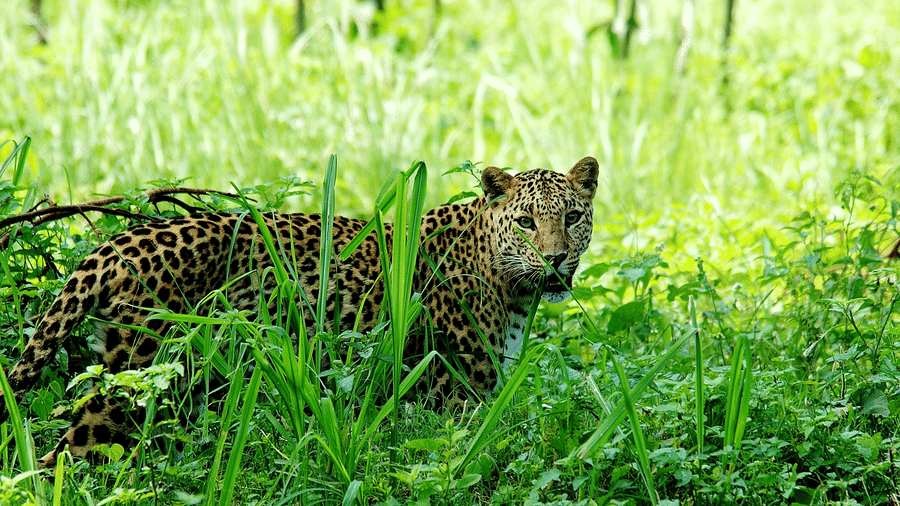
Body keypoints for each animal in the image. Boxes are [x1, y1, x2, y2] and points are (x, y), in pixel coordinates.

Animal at [0, 157, 599, 468]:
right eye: (526, 222)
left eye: (571, 217)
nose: (554, 258)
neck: (510, 286)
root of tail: (124, 239)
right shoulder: (456, 398)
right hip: (136, 385)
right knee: (69, 457)